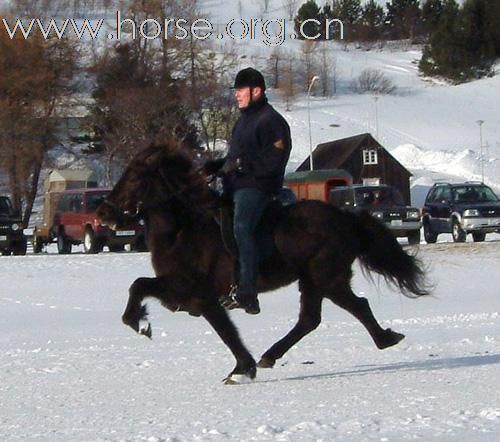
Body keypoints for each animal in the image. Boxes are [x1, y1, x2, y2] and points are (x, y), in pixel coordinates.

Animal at [98, 145, 430, 384]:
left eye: (135, 178)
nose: (103, 212)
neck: (183, 229)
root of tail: (345, 217)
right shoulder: (178, 290)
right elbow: (139, 285)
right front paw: (140, 322)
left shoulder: (198, 295)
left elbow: (226, 332)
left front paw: (241, 370)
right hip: (318, 281)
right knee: (322, 315)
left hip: (325, 277)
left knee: (341, 310)